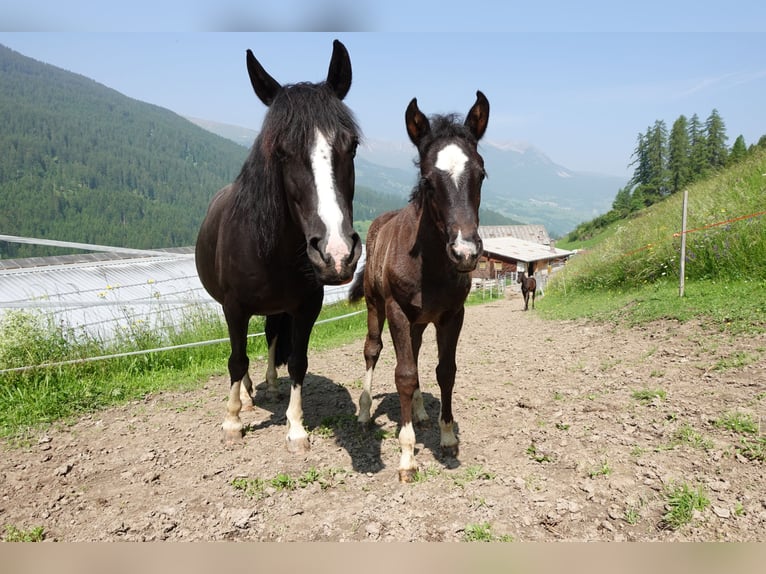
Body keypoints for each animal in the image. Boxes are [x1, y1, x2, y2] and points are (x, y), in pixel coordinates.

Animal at [195, 40, 362, 452]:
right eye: (281, 151)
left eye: (352, 146)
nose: (337, 255)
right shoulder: (234, 307)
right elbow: (236, 359)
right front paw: (232, 421)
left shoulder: (305, 307)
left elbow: (299, 361)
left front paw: (296, 428)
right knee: (242, 353)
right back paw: (247, 396)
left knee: (271, 336)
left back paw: (270, 386)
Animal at [349, 91, 490, 481]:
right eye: (428, 181)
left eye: (481, 174)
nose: (465, 252)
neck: (432, 267)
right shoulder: (396, 310)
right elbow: (404, 374)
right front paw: (407, 455)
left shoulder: (452, 314)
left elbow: (445, 371)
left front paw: (447, 437)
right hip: (375, 305)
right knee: (373, 350)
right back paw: (364, 412)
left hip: (419, 321)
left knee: (413, 347)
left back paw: (421, 413)